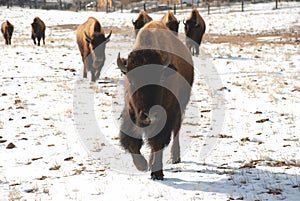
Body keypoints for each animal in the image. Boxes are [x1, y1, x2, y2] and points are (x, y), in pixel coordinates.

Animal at [116, 21, 193, 180]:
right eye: (131, 80)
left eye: (161, 78)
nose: (149, 115)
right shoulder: (131, 112)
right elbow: (131, 141)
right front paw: (142, 165)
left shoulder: (167, 114)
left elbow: (158, 142)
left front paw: (157, 173)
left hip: (180, 108)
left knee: (176, 131)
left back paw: (174, 157)